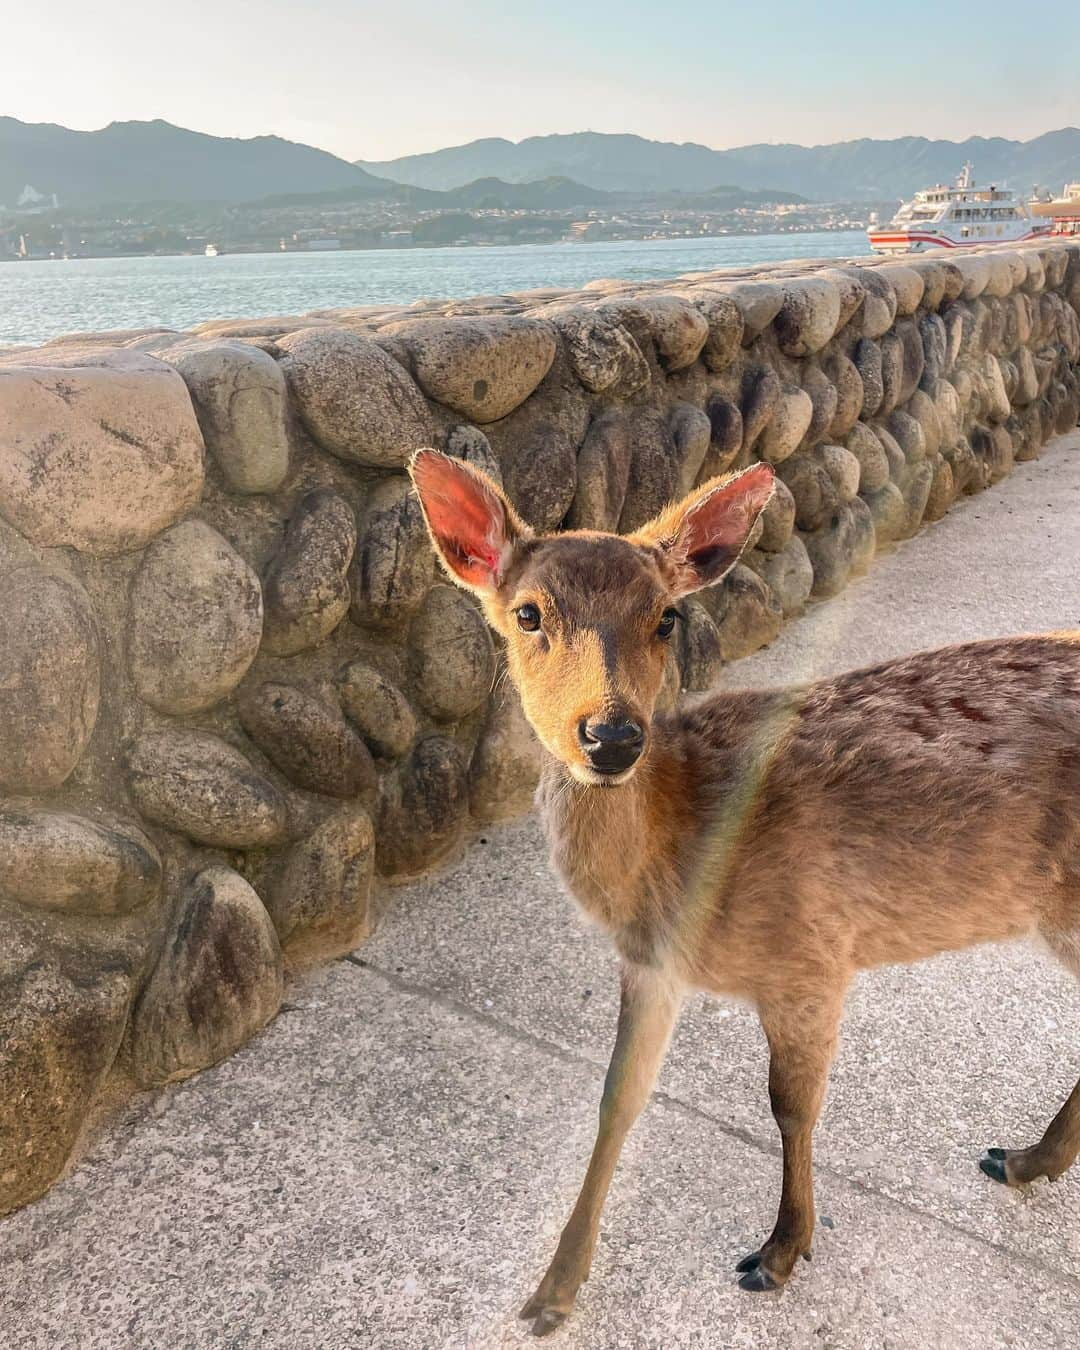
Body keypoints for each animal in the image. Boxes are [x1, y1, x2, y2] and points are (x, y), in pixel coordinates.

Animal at [405, 448, 1080, 1333]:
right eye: (527, 613)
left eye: (666, 617)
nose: (611, 736)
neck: (677, 866)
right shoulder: (652, 966)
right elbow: (618, 1097)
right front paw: (551, 1292)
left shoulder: (811, 955)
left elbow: (791, 1105)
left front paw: (779, 1252)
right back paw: (1026, 1160)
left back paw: (1025, 1158)